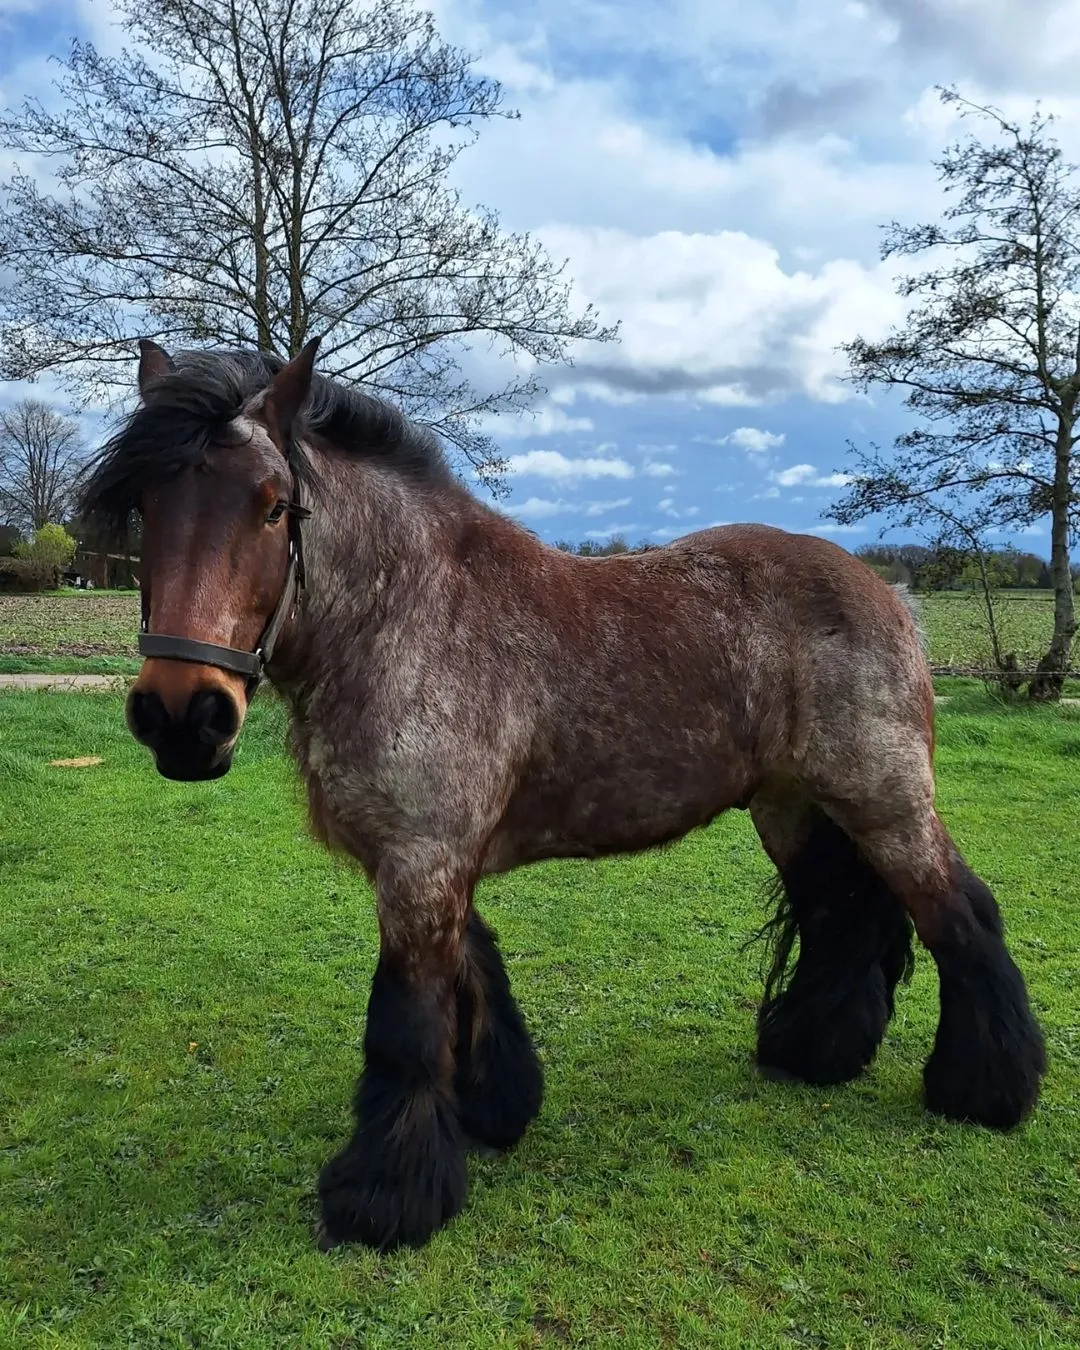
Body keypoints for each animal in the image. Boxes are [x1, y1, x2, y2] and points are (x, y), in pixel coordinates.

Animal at [79, 339, 1047, 1252]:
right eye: (146, 506)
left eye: (274, 504)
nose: (183, 716)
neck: (408, 616)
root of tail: (889, 593)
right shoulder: (431, 861)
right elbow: (474, 979)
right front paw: (495, 1111)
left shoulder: (422, 861)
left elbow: (405, 1021)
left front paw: (385, 1198)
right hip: (795, 809)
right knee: (840, 917)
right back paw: (814, 1052)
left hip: (888, 802)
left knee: (960, 915)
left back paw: (985, 1089)